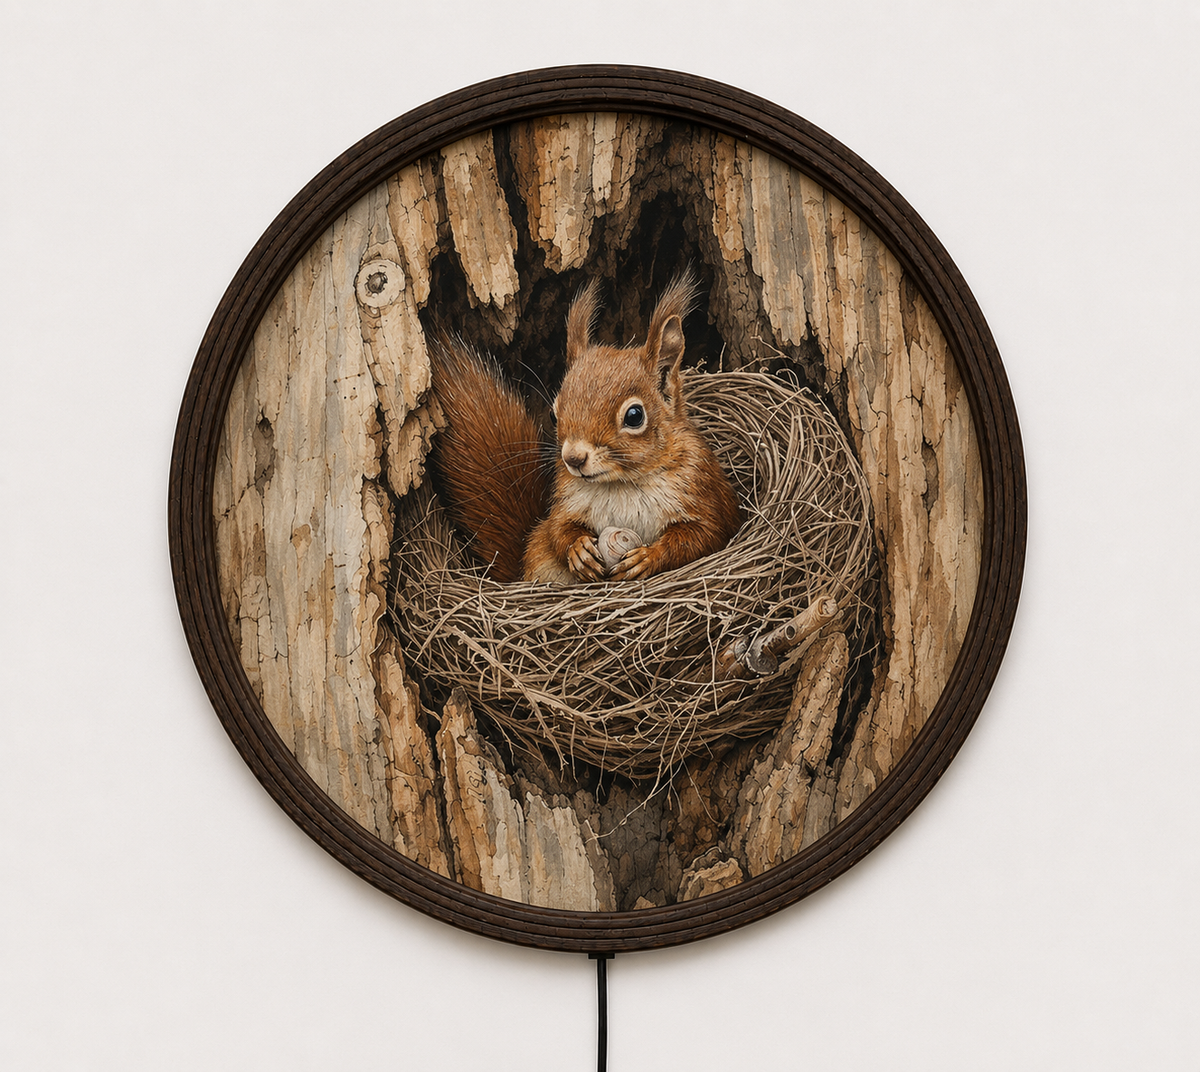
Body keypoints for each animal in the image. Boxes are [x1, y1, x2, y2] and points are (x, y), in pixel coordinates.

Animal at [429, 273, 743, 585]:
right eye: (553, 415)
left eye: (634, 416)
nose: (573, 458)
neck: (621, 484)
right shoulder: (564, 501)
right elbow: (557, 528)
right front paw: (578, 549)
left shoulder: (703, 491)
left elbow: (703, 535)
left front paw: (649, 556)